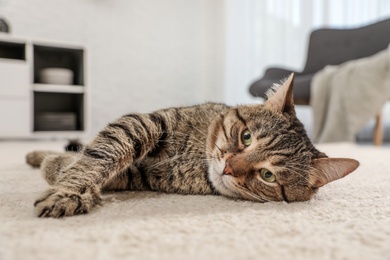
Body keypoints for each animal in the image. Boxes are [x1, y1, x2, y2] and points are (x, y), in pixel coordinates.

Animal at [25, 74, 358, 218]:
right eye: (246, 137)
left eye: (268, 176)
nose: (228, 167)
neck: (195, 158)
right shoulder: (146, 123)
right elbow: (101, 154)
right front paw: (69, 190)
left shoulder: (142, 176)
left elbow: (104, 165)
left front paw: (60, 172)